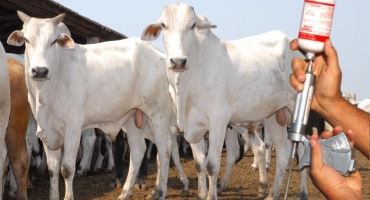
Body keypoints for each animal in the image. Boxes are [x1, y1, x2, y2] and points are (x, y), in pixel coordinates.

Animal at [7, 11, 175, 200]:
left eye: (54, 41)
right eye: (27, 40)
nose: (40, 71)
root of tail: (159, 54)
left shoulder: (73, 128)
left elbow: (67, 169)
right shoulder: (46, 131)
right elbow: (52, 169)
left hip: (158, 114)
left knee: (164, 147)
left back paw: (159, 192)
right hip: (133, 119)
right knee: (138, 151)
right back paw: (125, 193)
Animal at [142, 2, 304, 198]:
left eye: (192, 25)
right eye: (164, 25)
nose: (178, 61)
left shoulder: (218, 121)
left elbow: (211, 165)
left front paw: (210, 195)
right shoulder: (193, 127)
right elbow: (199, 164)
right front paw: (202, 194)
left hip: (297, 110)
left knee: (302, 148)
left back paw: (301, 192)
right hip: (275, 115)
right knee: (282, 152)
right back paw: (272, 194)